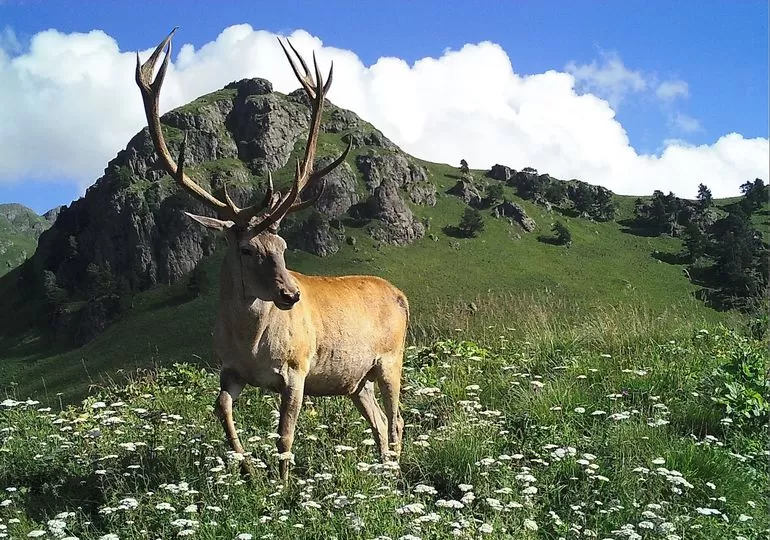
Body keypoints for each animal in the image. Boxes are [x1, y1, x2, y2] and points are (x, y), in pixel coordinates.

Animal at [135, 29, 408, 478]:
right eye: (247, 248)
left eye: (282, 246)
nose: (291, 294)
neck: (251, 344)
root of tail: (401, 296)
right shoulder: (228, 368)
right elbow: (222, 410)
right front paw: (245, 466)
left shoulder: (297, 368)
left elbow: (284, 436)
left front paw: (281, 486)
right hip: (355, 378)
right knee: (379, 419)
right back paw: (381, 469)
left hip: (390, 358)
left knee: (397, 416)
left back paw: (394, 473)